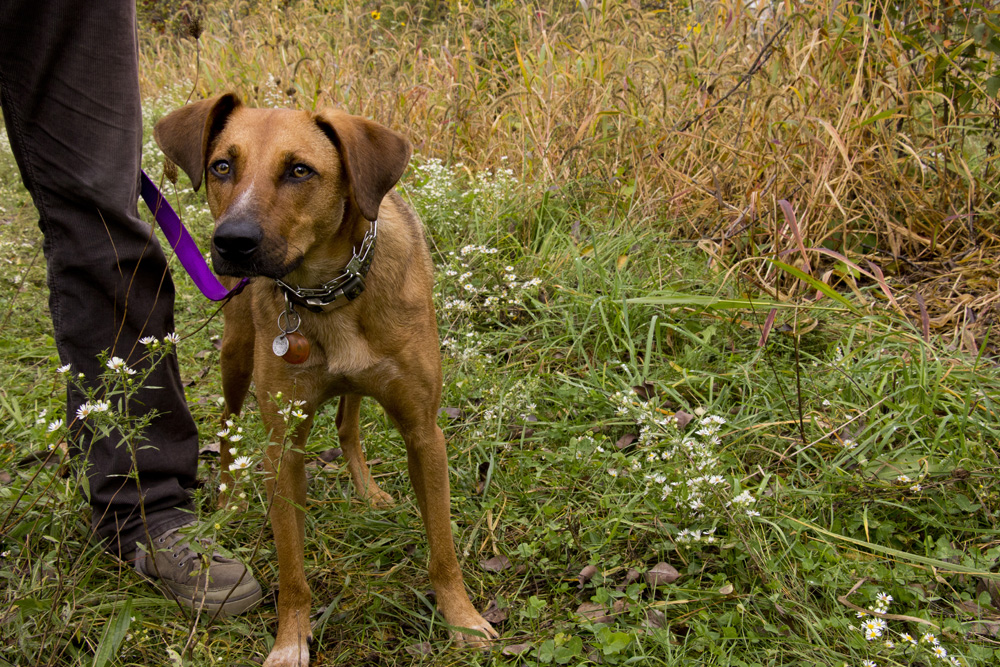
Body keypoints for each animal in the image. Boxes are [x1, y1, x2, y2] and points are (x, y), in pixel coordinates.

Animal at [153, 95, 496, 667]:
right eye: (222, 166)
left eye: (299, 170)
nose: (232, 242)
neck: (326, 293)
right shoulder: (283, 449)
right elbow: (292, 570)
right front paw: (290, 640)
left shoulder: (425, 433)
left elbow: (443, 550)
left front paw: (462, 619)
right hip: (235, 354)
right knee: (227, 424)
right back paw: (224, 506)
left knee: (347, 421)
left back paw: (367, 490)